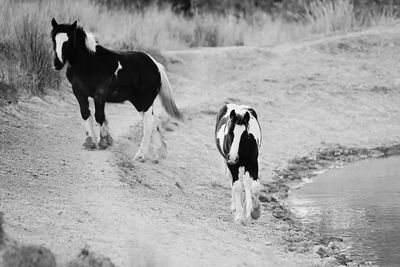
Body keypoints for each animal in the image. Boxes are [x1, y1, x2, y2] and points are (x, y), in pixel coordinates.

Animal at [49, 19, 182, 161]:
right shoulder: (79, 93)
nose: (57, 63)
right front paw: (90, 141)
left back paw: (140, 155)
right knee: (154, 121)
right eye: (53, 39)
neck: (89, 63)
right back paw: (159, 152)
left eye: (69, 40)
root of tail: (156, 66)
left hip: (145, 100)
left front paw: (103, 141)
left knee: (148, 122)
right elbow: (85, 113)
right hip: (137, 102)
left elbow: (99, 116)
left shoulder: (100, 95)